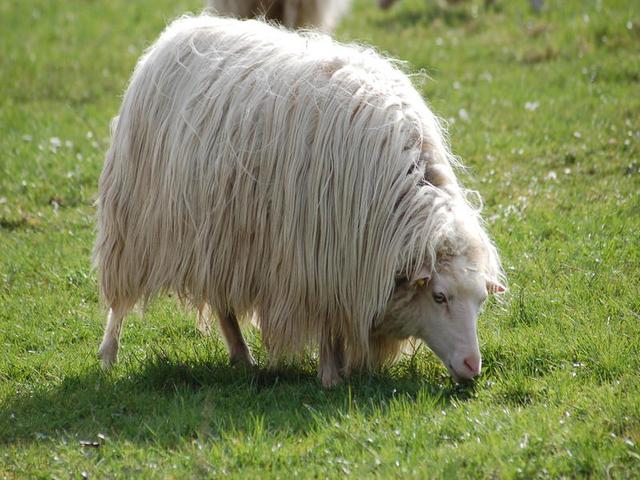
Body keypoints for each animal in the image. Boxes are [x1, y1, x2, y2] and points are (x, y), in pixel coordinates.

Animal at [94, 14, 506, 387]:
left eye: (480, 301)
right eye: (439, 297)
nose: (472, 367)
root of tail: (178, 31)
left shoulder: (345, 266)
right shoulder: (316, 261)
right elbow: (326, 324)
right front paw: (330, 376)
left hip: (220, 236)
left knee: (223, 302)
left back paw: (242, 357)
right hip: (133, 219)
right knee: (119, 300)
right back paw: (108, 354)